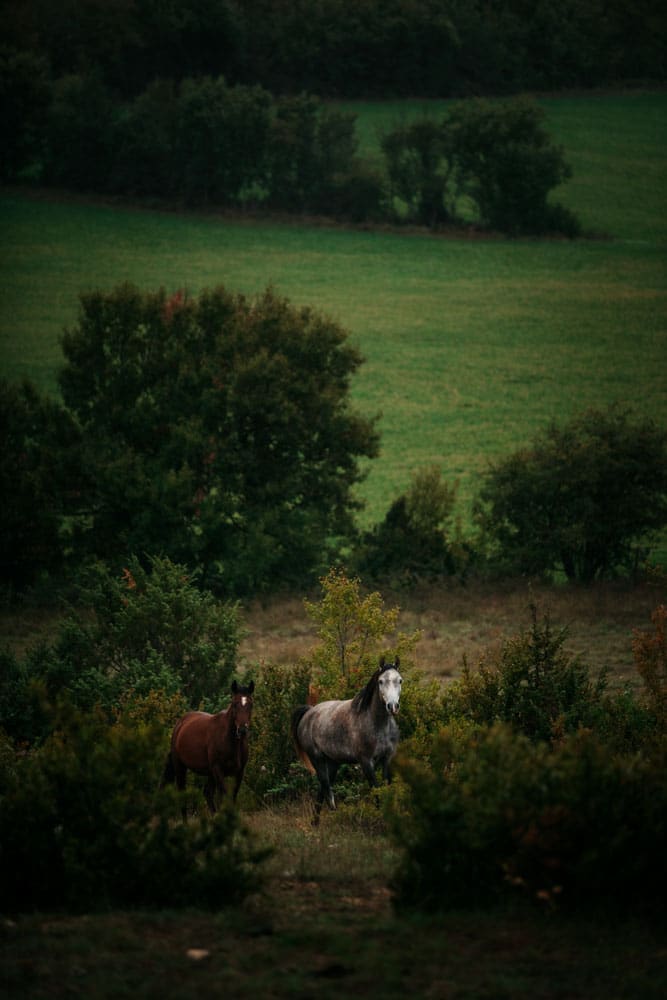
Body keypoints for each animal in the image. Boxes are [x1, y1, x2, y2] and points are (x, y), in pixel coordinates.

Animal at [162, 676, 256, 816]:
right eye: (234, 704)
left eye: (250, 704)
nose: (242, 730)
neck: (230, 742)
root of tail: (180, 724)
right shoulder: (218, 770)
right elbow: (224, 796)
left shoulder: (239, 772)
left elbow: (232, 797)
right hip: (180, 767)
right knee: (183, 794)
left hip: (209, 773)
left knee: (207, 793)